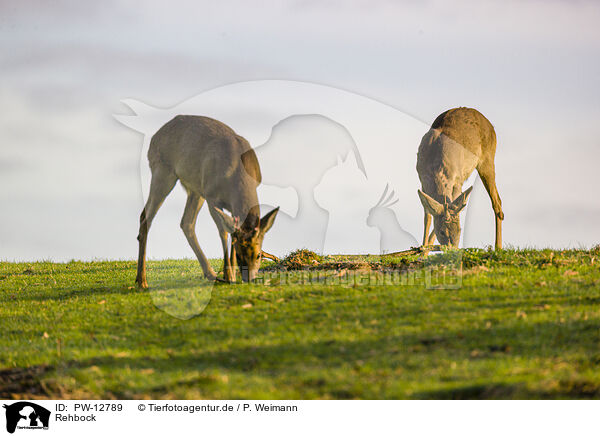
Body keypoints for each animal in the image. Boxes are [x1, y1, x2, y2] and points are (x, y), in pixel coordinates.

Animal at [136, 114, 278, 288]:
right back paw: (142, 281)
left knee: (186, 222)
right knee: (146, 218)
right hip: (163, 171)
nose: (249, 278)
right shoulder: (212, 198)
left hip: (195, 189)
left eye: (258, 255)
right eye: (240, 255)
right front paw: (229, 275)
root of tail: (154, 137)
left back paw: (210, 273)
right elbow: (224, 232)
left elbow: (232, 234)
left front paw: (230, 273)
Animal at [414, 108, 504, 249]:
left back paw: (498, 247)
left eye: (460, 230)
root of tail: (491, 125)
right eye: (442, 232)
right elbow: (427, 217)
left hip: (487, 160)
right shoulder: (422, 181)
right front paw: (423, 249)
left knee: (497, 201)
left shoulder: (458, 181)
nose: (453, 249)